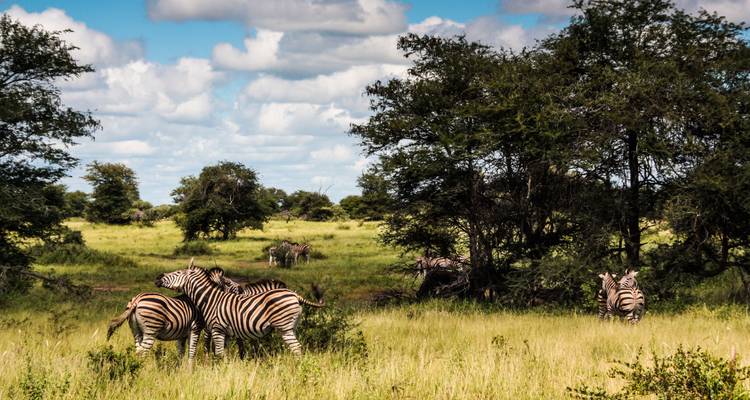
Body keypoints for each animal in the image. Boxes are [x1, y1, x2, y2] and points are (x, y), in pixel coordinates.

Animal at [155, 262, 324, 357]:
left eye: (178, 273)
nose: (157, 278)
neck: (211, 299)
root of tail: (294, 294)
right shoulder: (228, 333)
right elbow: (225, 353)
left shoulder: (218, 329)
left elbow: (219, 354)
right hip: (291, 326)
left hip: (284, 327)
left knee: (296, 348)